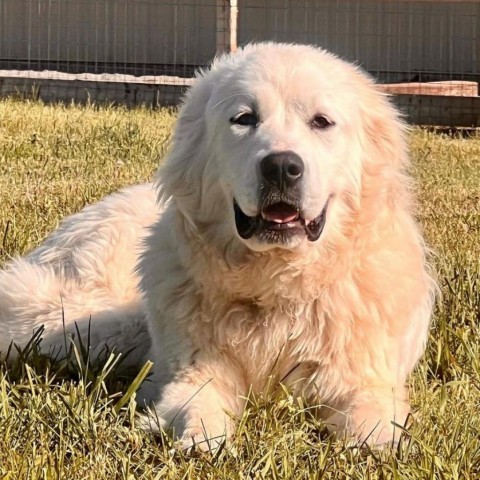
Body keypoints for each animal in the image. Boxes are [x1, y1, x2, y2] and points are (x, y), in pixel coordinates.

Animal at [0, 43, 436, 448]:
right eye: (244, 119)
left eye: (321, 122)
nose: (281, 166)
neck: (275, 285)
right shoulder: (192, 369)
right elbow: (197, 400)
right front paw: (200, 437)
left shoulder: (363, 378)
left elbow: (374, 420)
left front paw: (374, 447)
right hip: (88, 325)